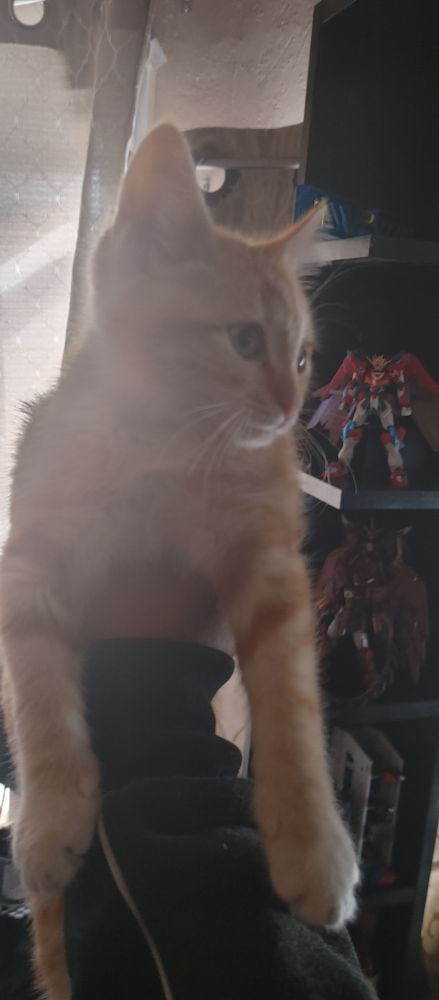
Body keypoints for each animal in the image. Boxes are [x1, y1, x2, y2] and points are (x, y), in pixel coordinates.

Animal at [0, 124, 359, 999]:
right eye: (243, 340)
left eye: (304, 357)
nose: (290, 409)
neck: (166, 442)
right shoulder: (31, 551)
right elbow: (37, 686)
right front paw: (51, 817)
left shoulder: (270, 560)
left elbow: (292, 709)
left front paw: (312, 848)